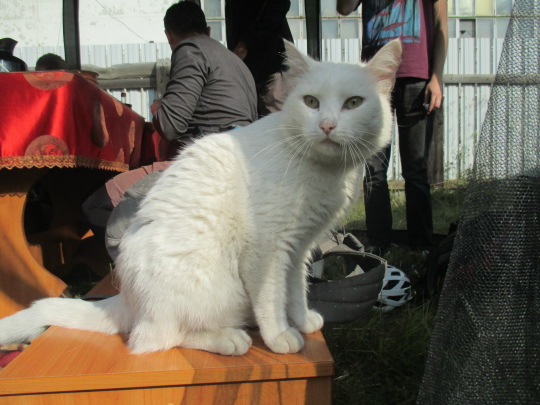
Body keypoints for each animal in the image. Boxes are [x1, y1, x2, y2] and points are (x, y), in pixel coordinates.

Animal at [0, 40, 401, 356]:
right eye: (311, 102)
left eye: (353, 103)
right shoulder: (268, 249)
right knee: (154, 339)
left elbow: (296, 290)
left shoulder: (299, 247)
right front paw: (279, 337)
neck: (325, 171)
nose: (327, 125)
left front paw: (301, 321)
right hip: (212, 288)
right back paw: (229, 339)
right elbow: (272, 298)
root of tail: (127, 298)